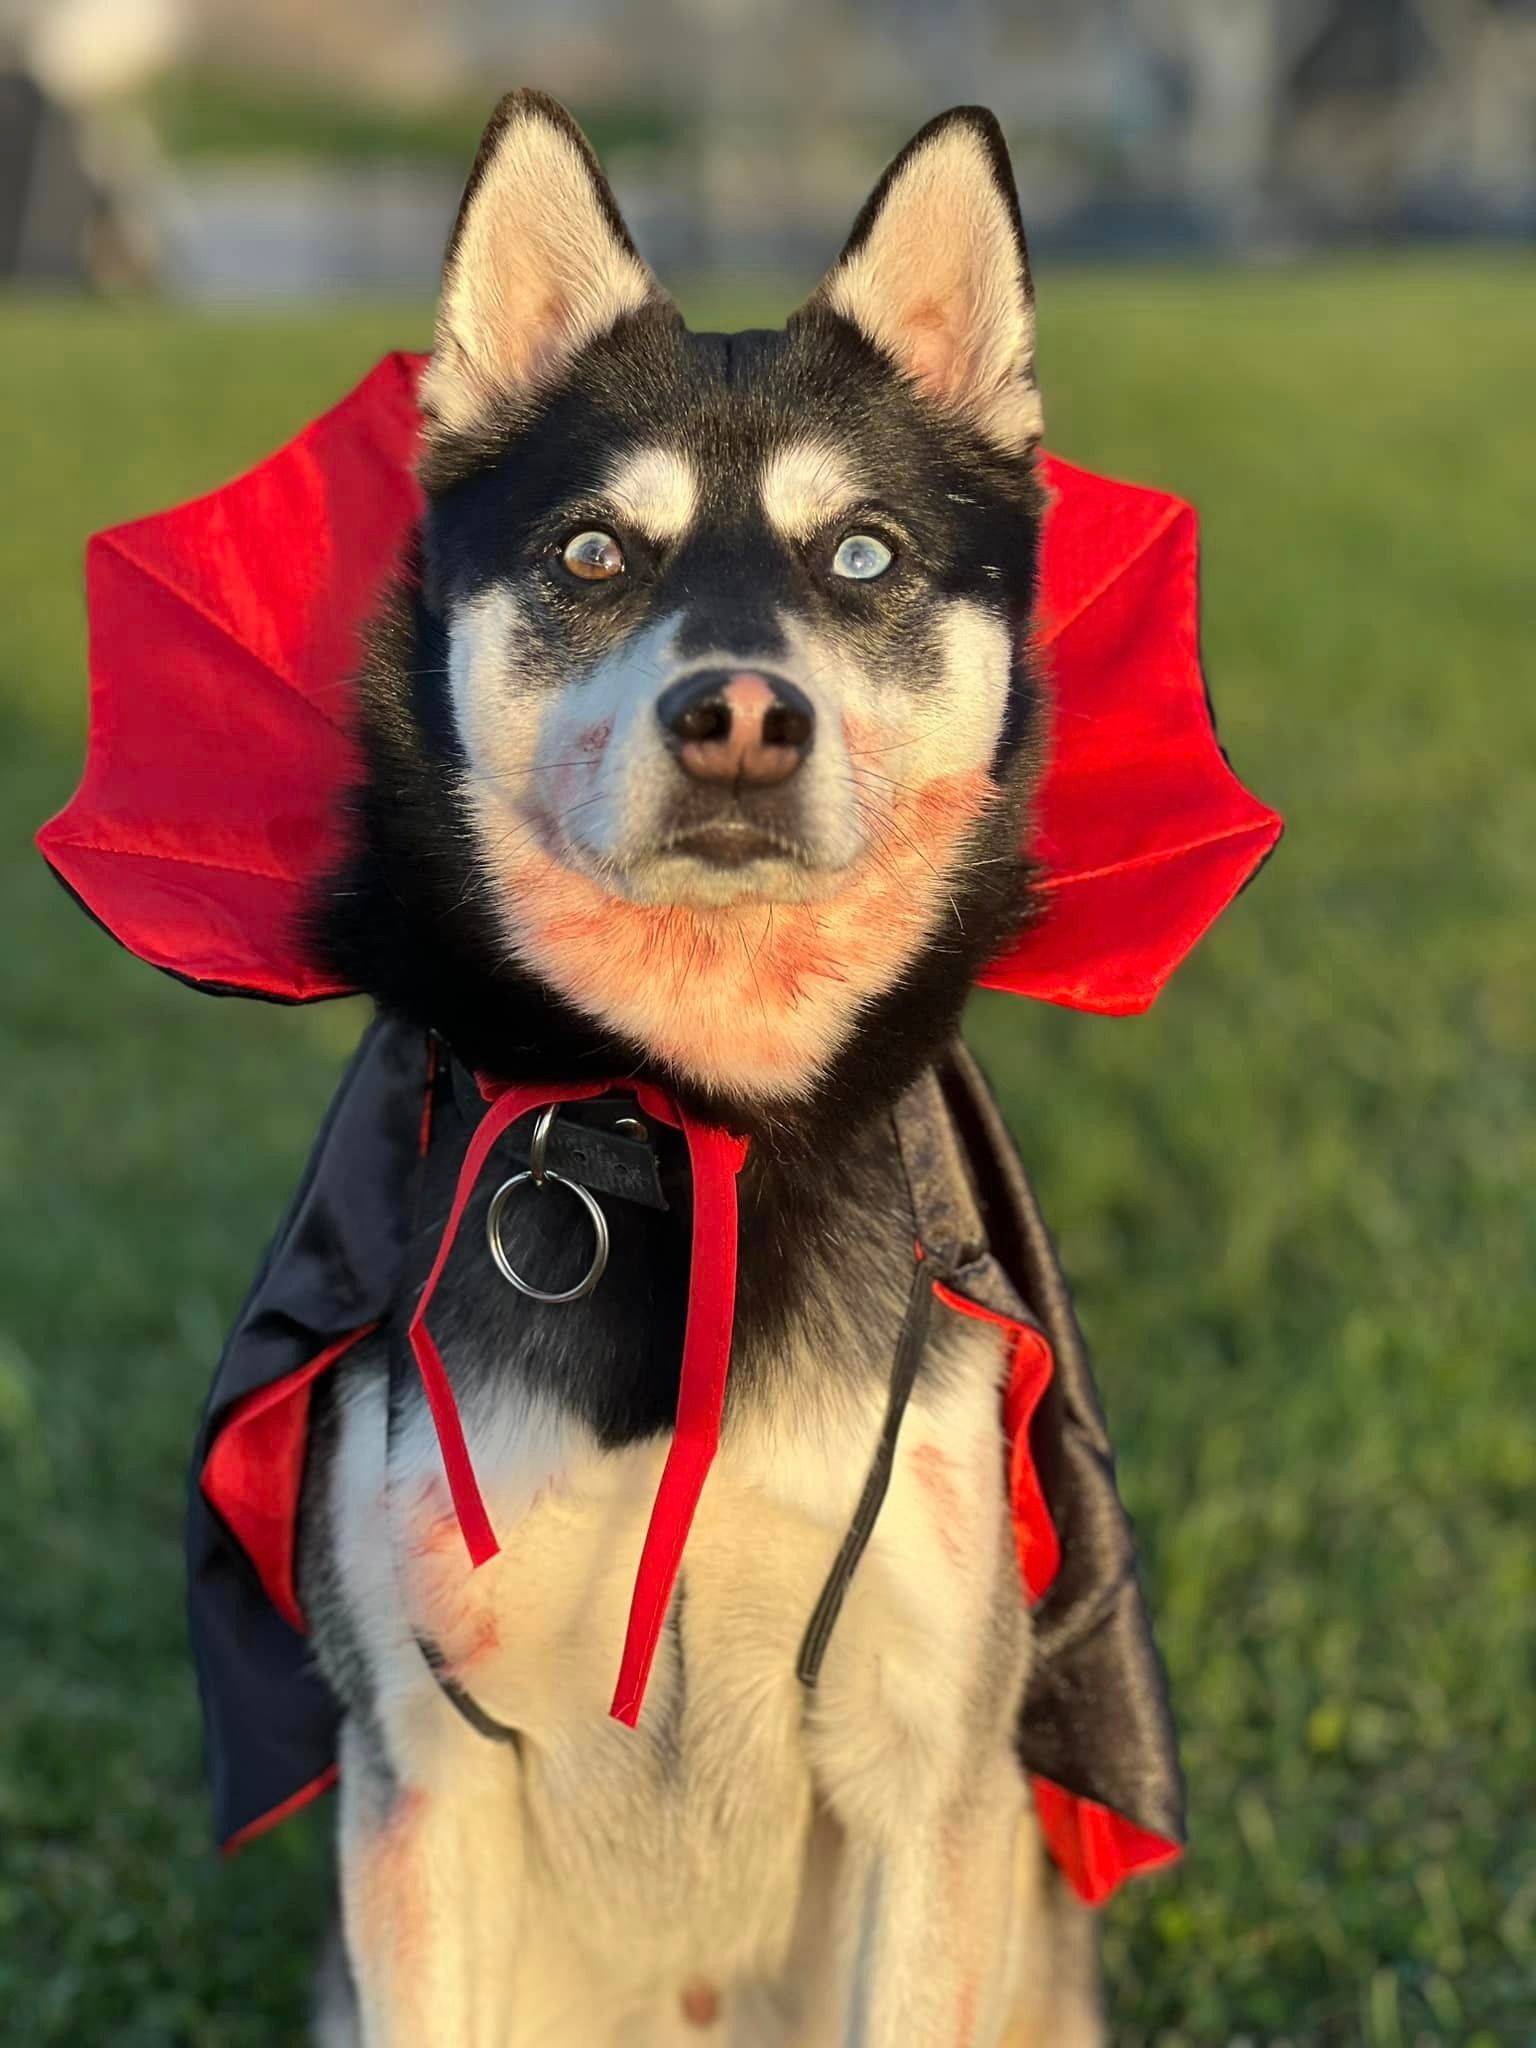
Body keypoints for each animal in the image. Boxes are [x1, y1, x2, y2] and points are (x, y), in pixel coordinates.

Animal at [294, 88, 1105, 2039]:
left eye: (862, 554)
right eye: (596, 553)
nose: (738, 713)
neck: (691, 1121)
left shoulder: (926, 1768)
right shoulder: (419, 1769)